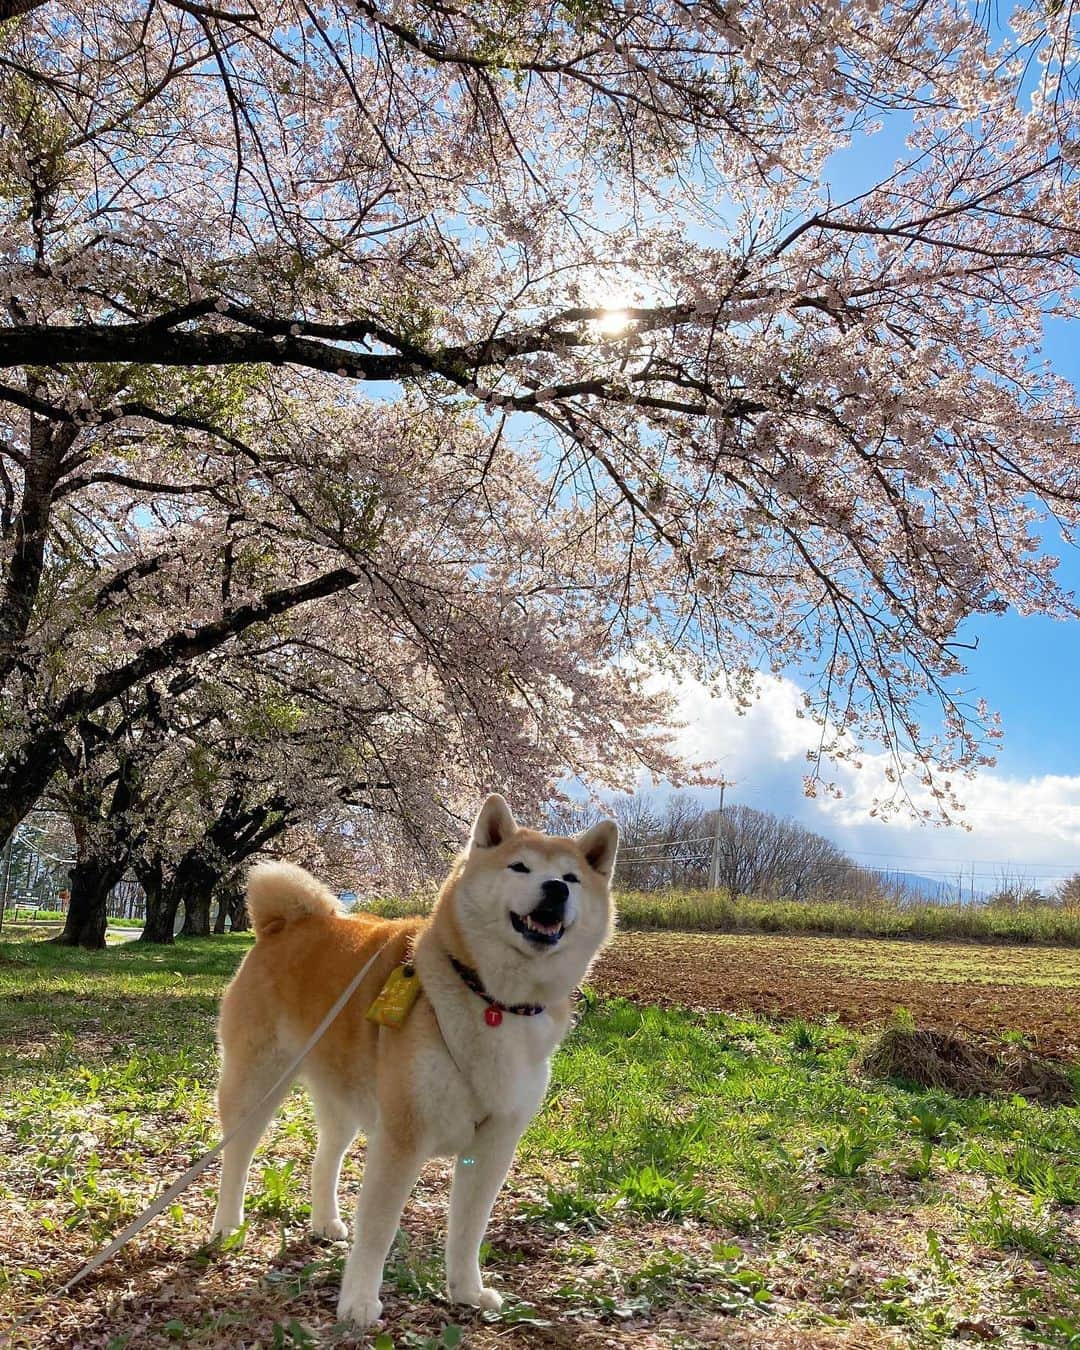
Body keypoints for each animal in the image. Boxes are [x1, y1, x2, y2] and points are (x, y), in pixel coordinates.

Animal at [210, 793, 615, 1323]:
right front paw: (359, 1301)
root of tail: (284, 924)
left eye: (571, 877)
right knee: (236, 1157)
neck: (492, 1001)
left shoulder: (493, 1146)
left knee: (325, 1157)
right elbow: (379, 1230)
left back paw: (325, 1221)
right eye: (520, 867)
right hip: (257, 1084)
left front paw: (466, 1291)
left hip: (345, 1095)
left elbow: (468, 1230)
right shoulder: (403, 1137)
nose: (554, 888)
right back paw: (226, 1224)